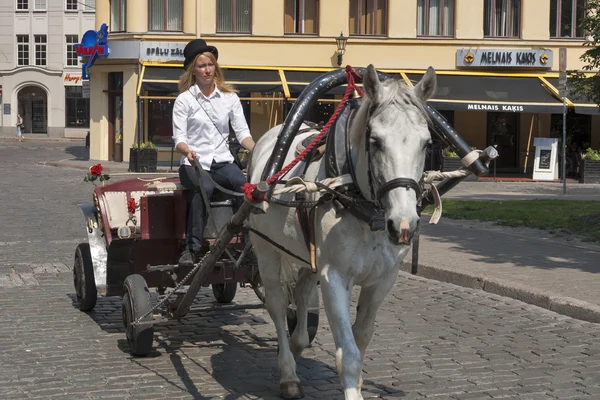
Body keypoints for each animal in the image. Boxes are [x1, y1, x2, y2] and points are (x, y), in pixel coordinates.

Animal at [247, 64, 436, 398]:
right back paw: (288, 372)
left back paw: (297, 346)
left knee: (301, 291)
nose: (404, 225)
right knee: (277, 305)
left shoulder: (384, 279)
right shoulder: (334, 276)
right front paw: (351, 386)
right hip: (265, 248)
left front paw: (358, 384)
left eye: (426, 143)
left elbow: (361, 337)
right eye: (375, 141)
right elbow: (348, 354)